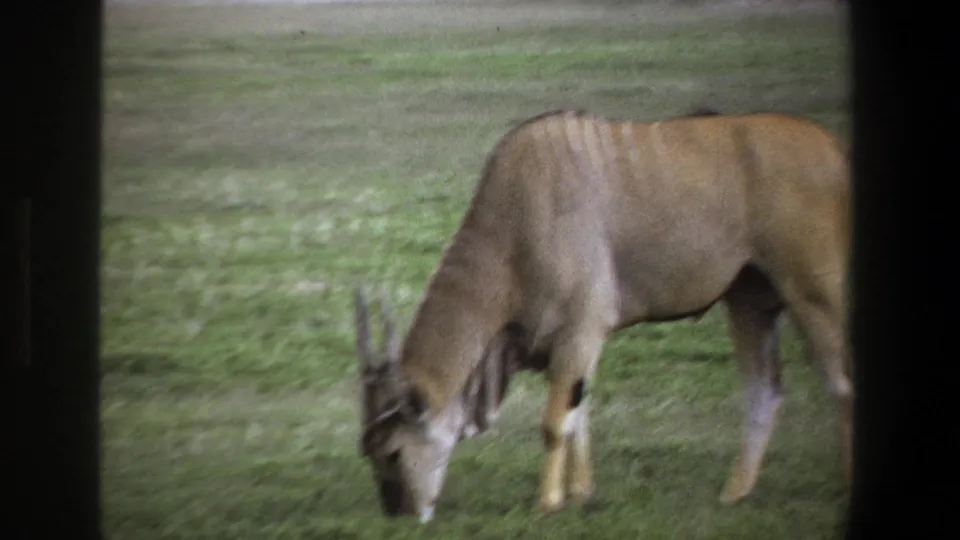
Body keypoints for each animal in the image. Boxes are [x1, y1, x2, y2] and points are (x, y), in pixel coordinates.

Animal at [354, 108, 852, 522]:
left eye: (392, 452)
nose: (397, 513)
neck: (515, 224)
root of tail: (831, 146)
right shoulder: (579, 346)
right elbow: (581, 415)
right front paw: (582, 493)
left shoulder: (579, 332)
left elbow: (556, 424)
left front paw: (549, 502)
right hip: (750, 301)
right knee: (764, 391)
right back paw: (734, 493)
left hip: (814, 293)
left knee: (841, 384)